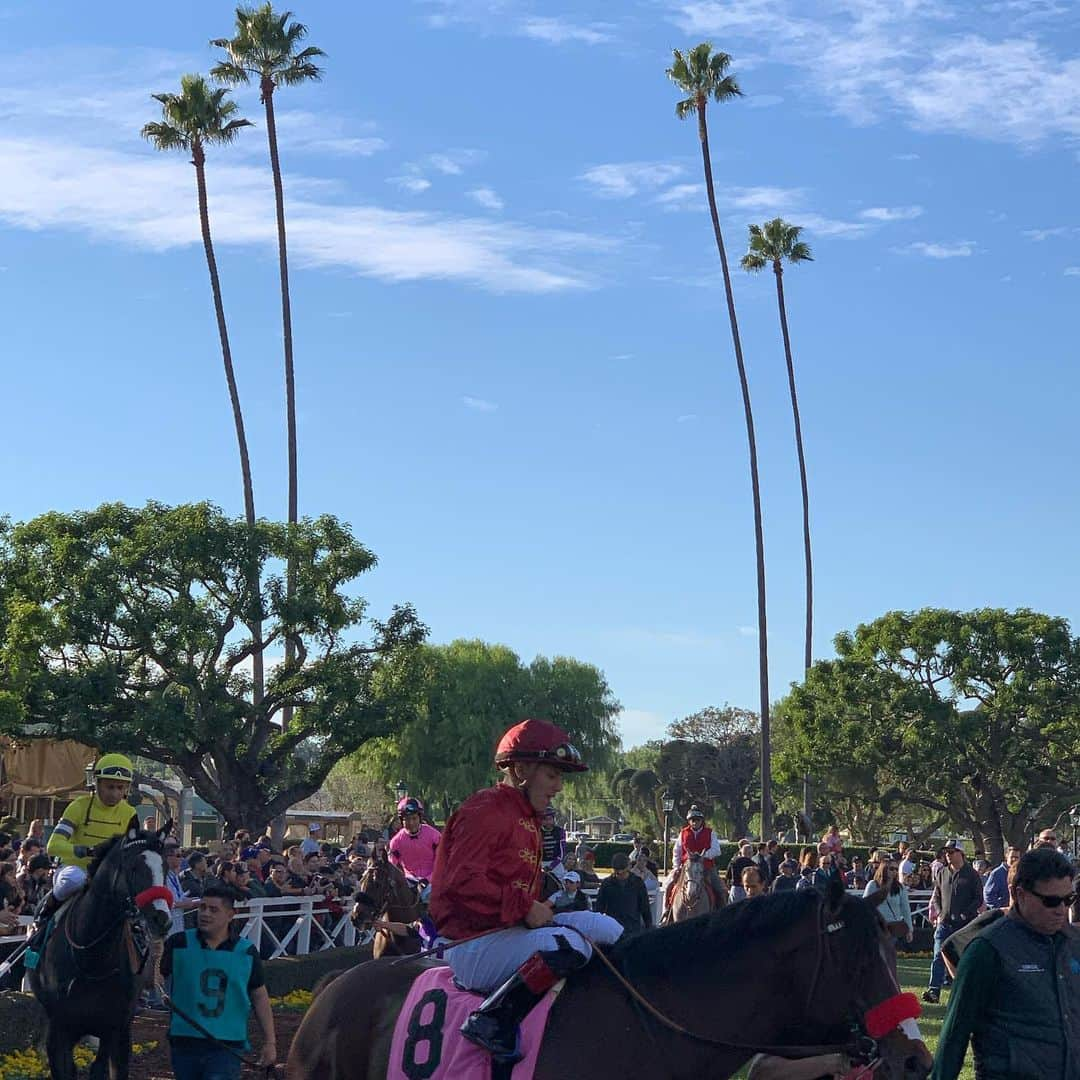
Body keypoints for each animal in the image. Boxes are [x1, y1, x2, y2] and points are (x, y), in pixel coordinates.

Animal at [29, 820, 173, 1075]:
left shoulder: (116, 1029)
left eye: (164, 867)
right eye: (134, 867)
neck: (92, 957)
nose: (161, 919)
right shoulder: (60, 1029)